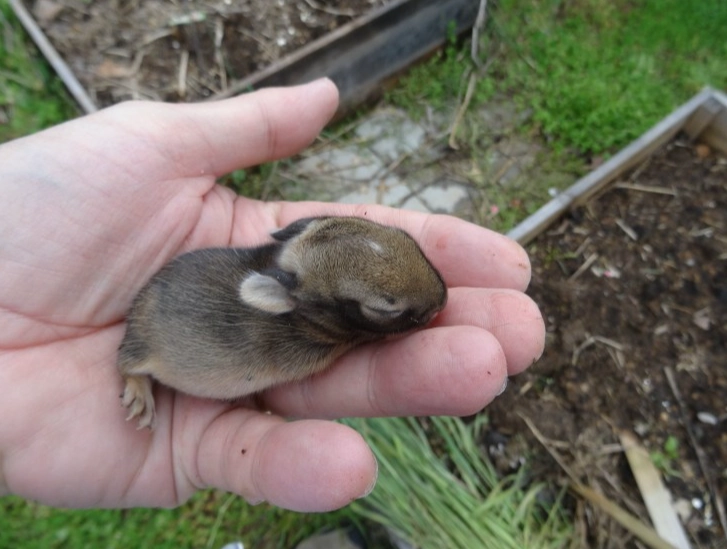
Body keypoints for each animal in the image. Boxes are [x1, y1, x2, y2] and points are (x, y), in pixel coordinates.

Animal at [117, 216, 447, 429]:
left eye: (406, 237)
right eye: (383, 309)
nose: (442, 300)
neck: (306, 315)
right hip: (142, 348)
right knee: (124, 364)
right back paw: (139, 396)